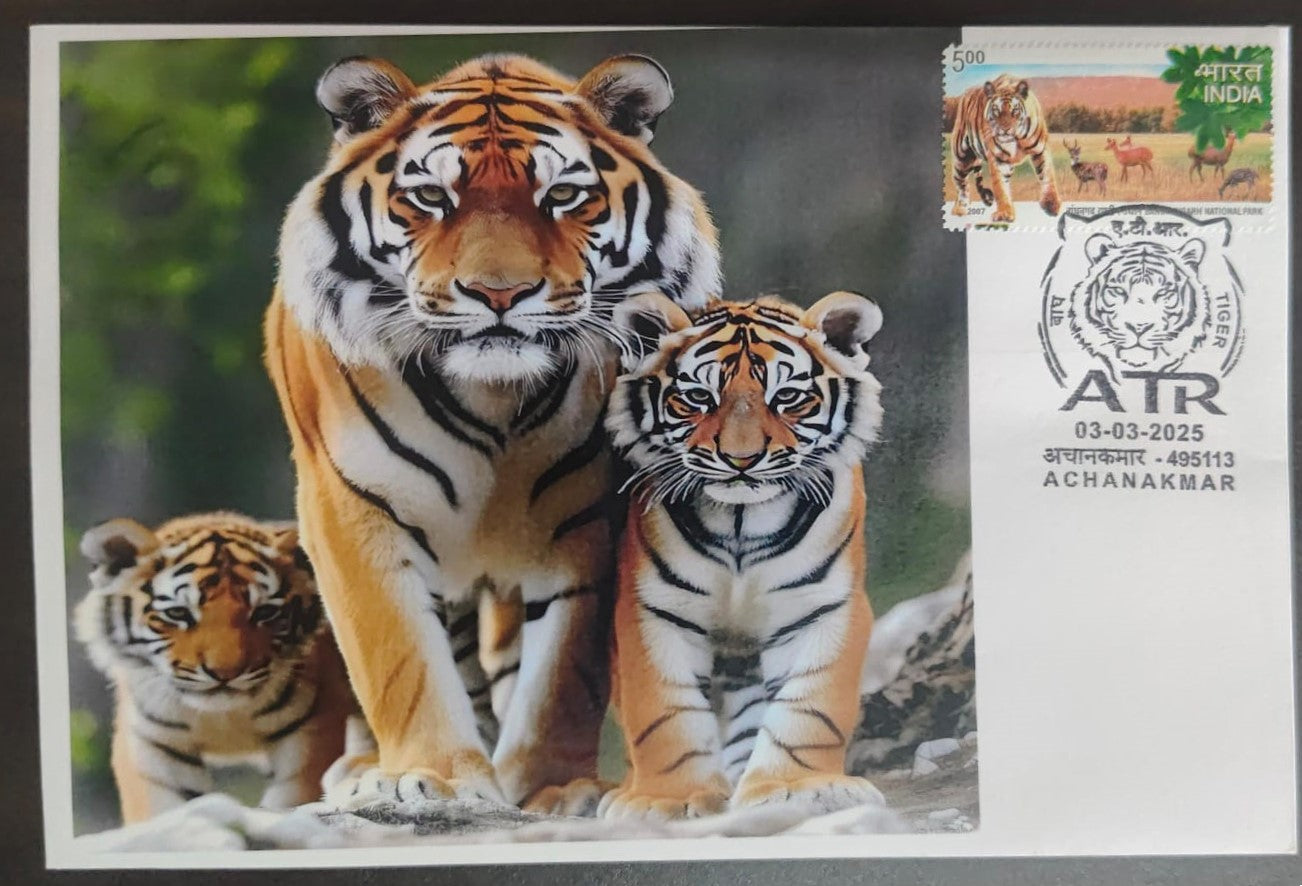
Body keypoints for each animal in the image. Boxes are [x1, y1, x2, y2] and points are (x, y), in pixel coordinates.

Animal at [73, 512, 356, 824]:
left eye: (265, 612)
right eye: (178, 613)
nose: (225, 673)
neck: (223, 718)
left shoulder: (313, 732)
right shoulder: (154, 746)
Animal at [264, 53, 720, 814]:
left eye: (563, 195)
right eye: (430, 197)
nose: (498, 294)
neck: (492, 397)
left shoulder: (590, 522)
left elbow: (565, 674)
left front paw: (556, 785)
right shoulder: (351, 508)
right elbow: (401, 659)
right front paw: (433, 775)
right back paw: (361, 769)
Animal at [599, 291, 885, 820]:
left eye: (787, 398)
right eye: (698, 398)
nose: (741, 460)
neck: (739, 523)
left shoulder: (823, 607)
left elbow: (810, 706)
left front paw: (802, 787)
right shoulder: (652, 610)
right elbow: (662, 713)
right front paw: (664, 799)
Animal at [949, 74, 1060, 223]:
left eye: (1015, 111)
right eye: (996, 110)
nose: (1005, 129)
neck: (1017, 138)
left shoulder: (1040, 150)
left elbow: (1047, 176)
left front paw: (1051, 205)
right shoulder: (998, 159)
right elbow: (1000, 188)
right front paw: (1005, 213)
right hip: (961, 157)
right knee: (961, 184)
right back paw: (959, 208)